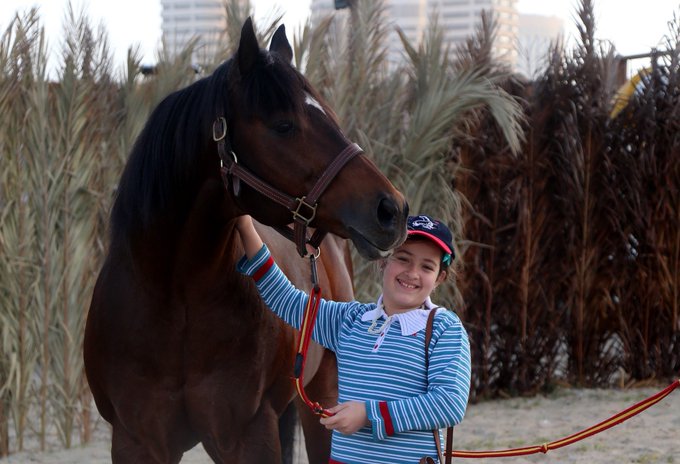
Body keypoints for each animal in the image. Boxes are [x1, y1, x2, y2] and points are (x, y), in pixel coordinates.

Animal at [83, 17, 406, 464]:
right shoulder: (137, 443)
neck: (173, 301)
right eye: (283, 125)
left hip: (324, 396)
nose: (391, 209)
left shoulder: (248, 435)